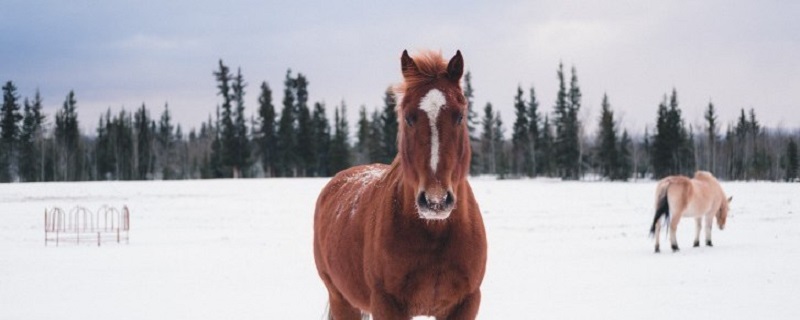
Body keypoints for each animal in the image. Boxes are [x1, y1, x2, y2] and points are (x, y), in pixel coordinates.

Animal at [312, 50, 488, 320]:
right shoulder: (387, 304)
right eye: (408, 118)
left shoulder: (466, 303)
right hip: (342, 299)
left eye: (459, 116)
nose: (435, 201)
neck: (435, 233)